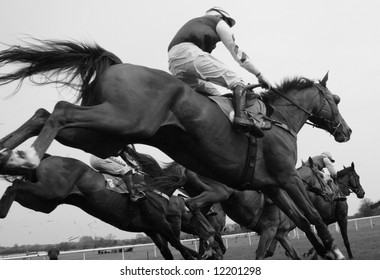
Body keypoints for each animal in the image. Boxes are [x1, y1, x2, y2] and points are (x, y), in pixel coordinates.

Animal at [0, 154, 217, 260]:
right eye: (197, 216)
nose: (211, 234)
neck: (157, 188)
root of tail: (47, 157)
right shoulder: (161, 223)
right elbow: (179, 246)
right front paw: (201, 255)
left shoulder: (152, 229)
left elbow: (169, 251)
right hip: (50, 191)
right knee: (15, 184)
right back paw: (2, 211)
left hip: (45, 202)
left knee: (16, 188)